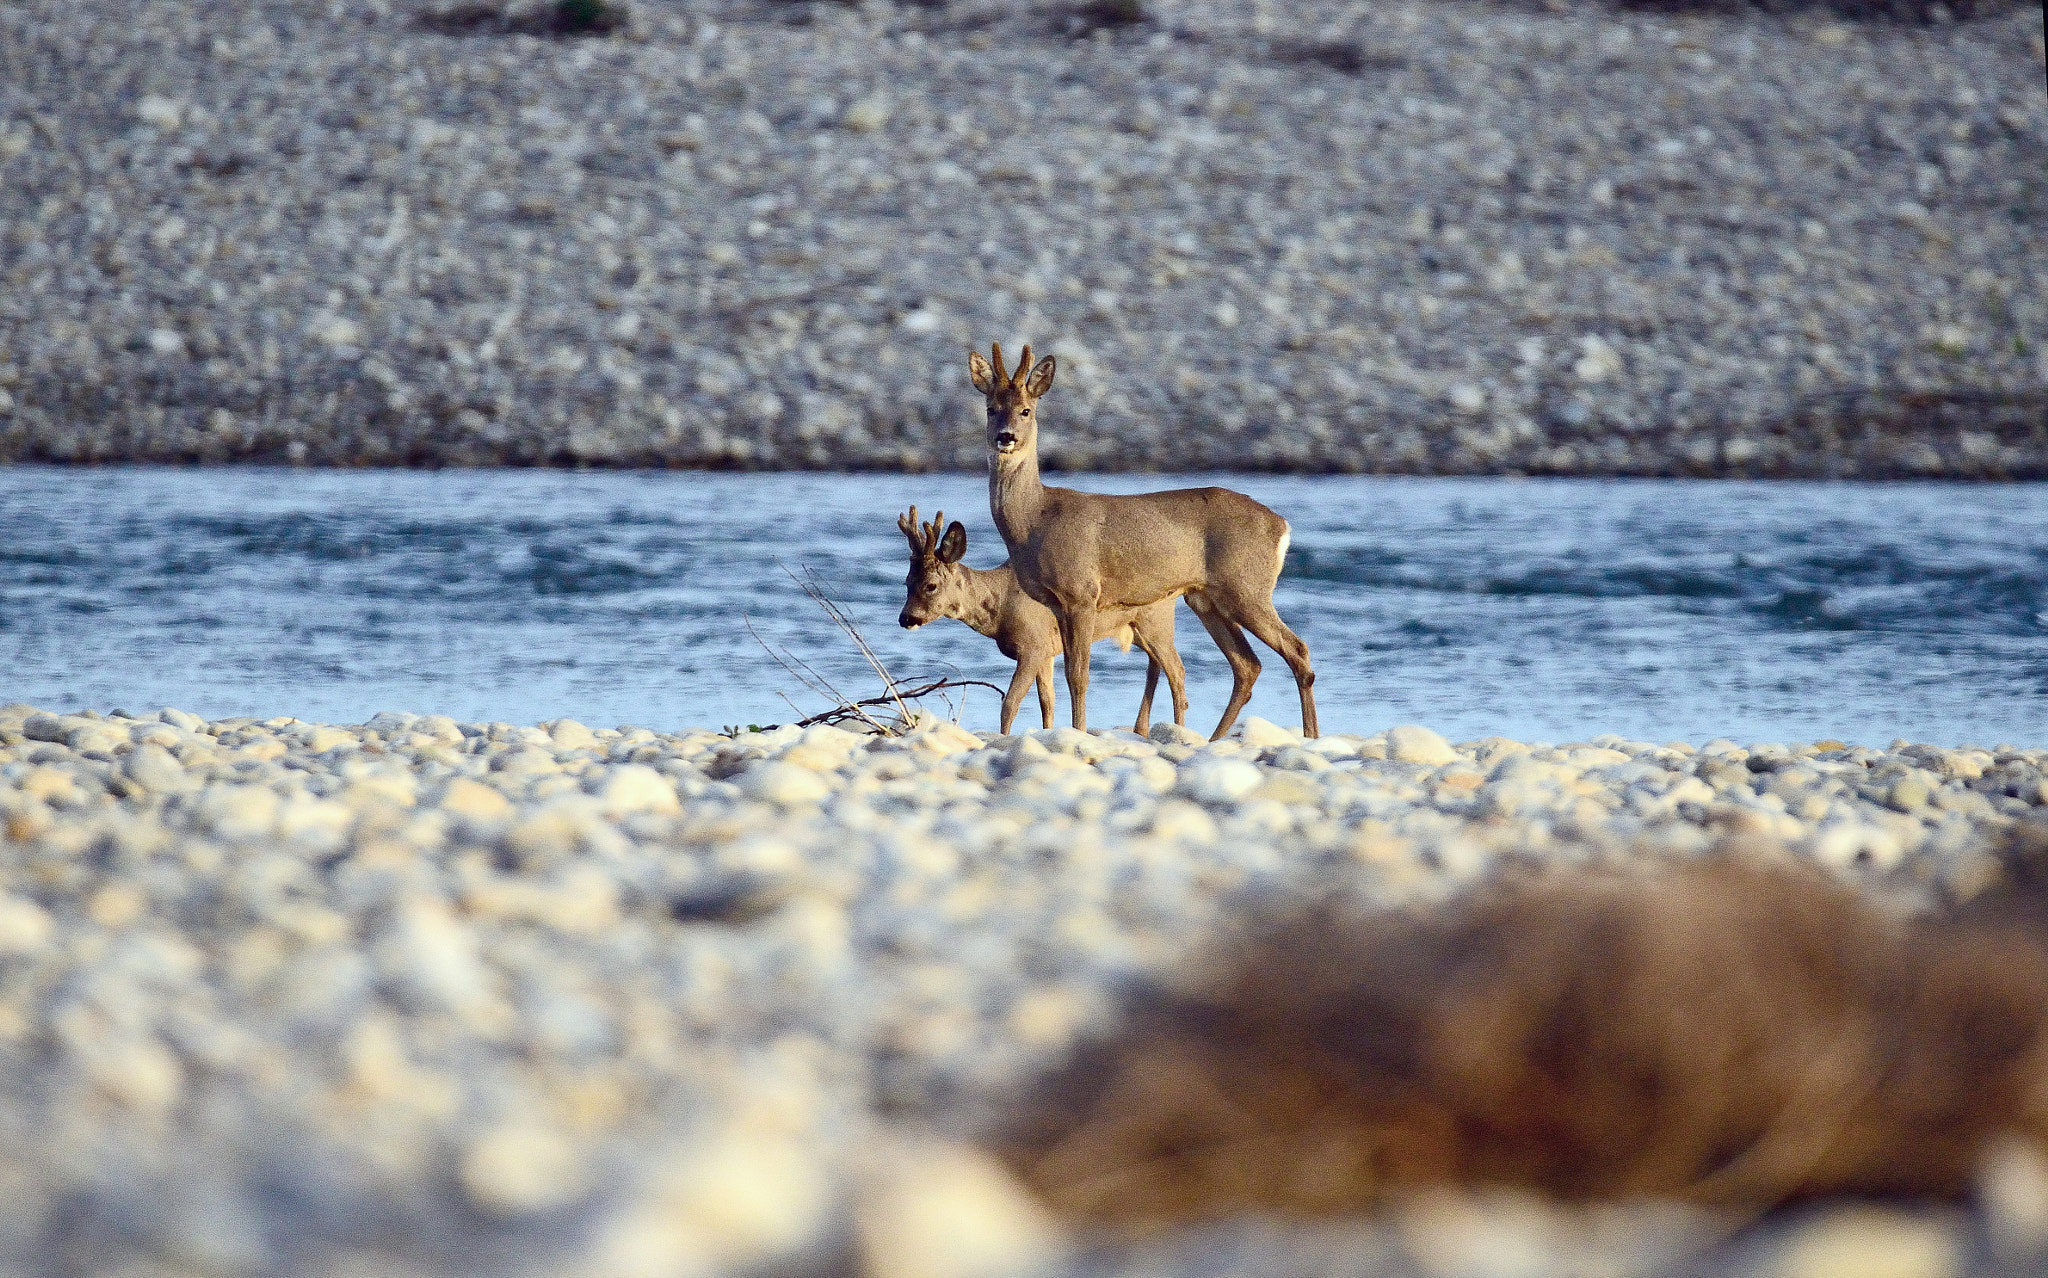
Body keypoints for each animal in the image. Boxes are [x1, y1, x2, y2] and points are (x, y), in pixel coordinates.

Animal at [892, 503, 1196, 733]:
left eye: (931, 585)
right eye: (906, 582)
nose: (906, 618)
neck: (1001, 604)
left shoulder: (1033, 645)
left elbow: (1010, 703)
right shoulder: (1047, 650)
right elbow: (1047, 702)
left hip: (1154, 620)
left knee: (1176, 669)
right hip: (1135, 628)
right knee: (1156, 665)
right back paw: (1142, 728)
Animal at [966, 342, 1318, 737]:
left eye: (1026, 410)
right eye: (990, 409)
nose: (1005, 436)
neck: (1036, 520)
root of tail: (1282, 526)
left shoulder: (1082, 592)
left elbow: (1079, 676)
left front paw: (1080, 730)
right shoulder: (1057, 604)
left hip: (1247, 588)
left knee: (1297, 650)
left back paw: (1310, 735)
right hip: (1206, 598)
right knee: (1247, 665)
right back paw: (1213, 738)